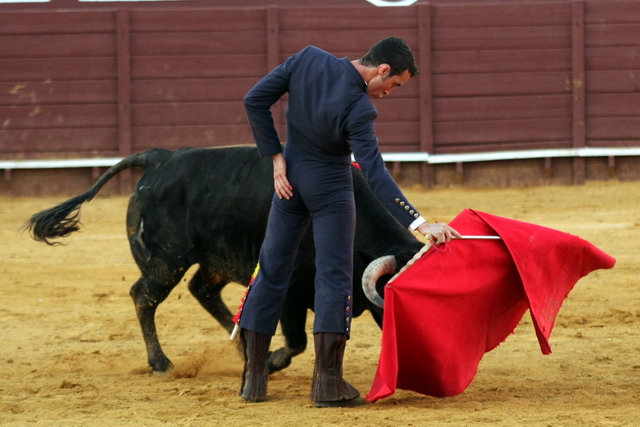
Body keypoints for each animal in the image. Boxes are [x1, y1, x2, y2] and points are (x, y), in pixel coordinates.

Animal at [26, 146, 424, 374]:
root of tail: (159, 157)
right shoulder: (290, 290)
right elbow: (296, 341)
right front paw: (272, 362)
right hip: (166, 261)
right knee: (144, 297)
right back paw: (161, 363)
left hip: (215, 259)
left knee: (202, 291)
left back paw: (242, 347)